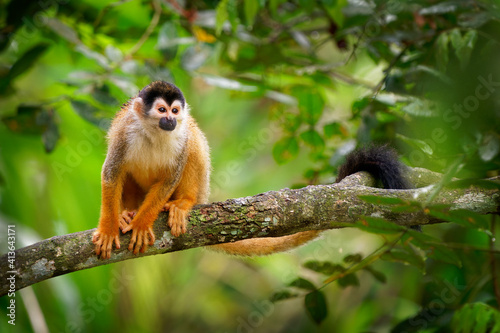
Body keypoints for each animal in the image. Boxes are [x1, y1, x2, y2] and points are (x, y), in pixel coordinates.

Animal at [92, 80, 408, 256]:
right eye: (161, 110)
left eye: (174, 111)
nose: (170, 120)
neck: (154, 132)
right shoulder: (124, 133)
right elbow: (111, 173)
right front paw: (109, 226)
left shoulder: (179, 137)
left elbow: (171, 175)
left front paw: (142, 223)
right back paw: (127, 212)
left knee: (194, 142)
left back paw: (183, 203)